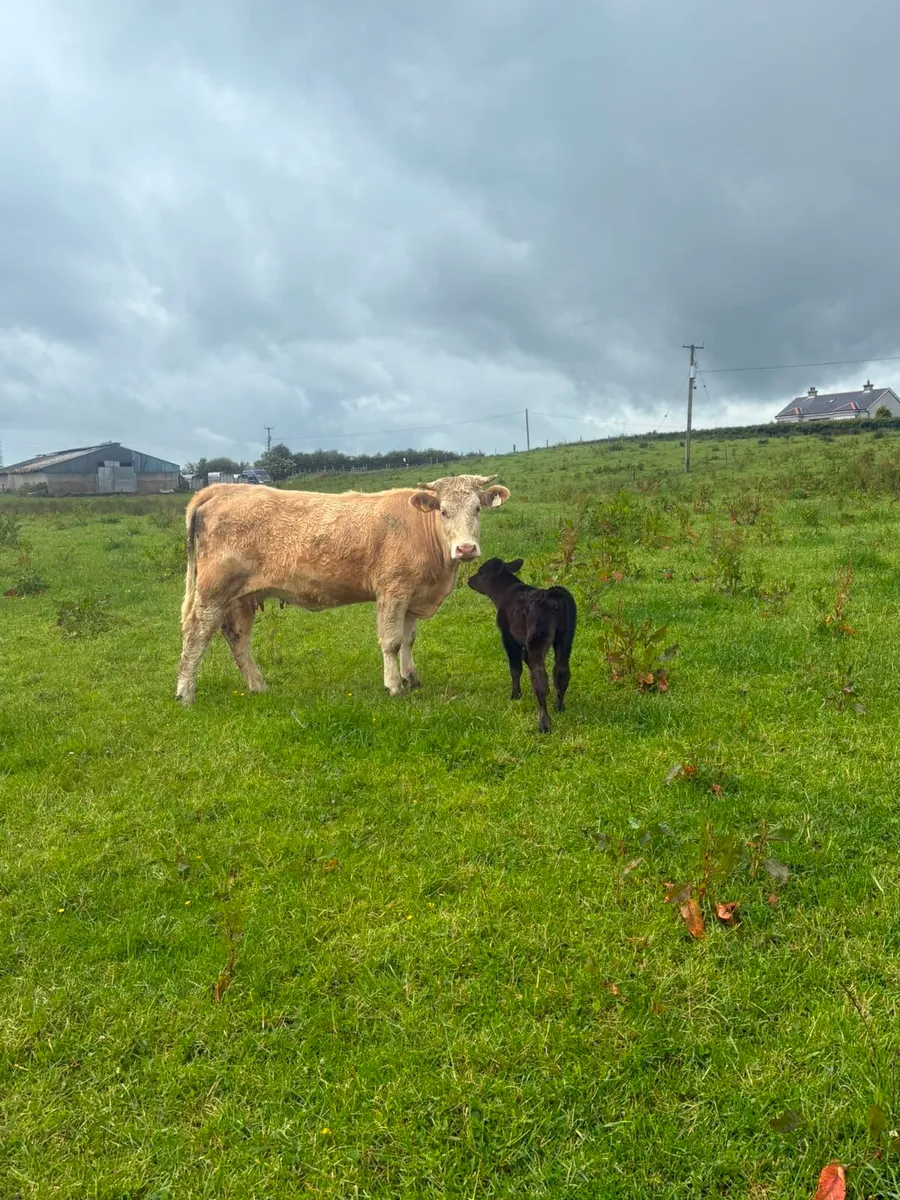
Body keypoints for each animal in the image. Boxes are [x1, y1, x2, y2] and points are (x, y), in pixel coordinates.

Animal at [175, 473, 511, 705]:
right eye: (443, 511)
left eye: (477, 509)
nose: (465, 548)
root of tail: (221, 489)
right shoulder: (392, 592)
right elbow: (391, 641)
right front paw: (393, 686)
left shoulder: (412, 595)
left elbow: (408, 639)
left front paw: (411, 678)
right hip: (213, 591)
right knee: (196, 633)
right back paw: (185, 694)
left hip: (242, 597)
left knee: (237, 637)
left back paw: (258, 686)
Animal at [467, 557, 577, 733]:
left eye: (481, 572)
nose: (469, 579)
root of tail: (552, 594)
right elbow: (525, 660)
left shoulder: (508, 636)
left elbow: (515, 668)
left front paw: (515, 695)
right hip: (565, 639)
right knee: (561, 672)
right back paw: (559, 707)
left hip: (537, 639)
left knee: (541, 680)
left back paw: (544, 724)